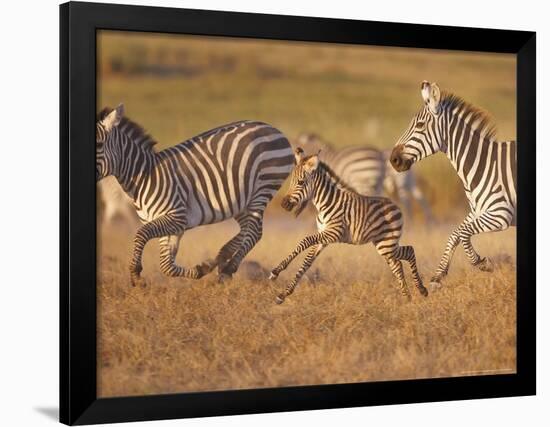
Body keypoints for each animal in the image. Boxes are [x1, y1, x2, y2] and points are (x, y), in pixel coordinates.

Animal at [270, 147, 430, 304]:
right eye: (291, 182)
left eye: (301, 182)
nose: (283, 204)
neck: (326, 202)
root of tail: (394, 205)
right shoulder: (323, 237)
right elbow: (306, 263)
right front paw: (283, 294)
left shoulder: (334, 233)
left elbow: (305, 240)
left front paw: (276, 271)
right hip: (383, 244)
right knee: (398, 264)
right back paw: (407, 297)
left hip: (387, 243)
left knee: (409, 251)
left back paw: (421, 290)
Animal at [392, 80, 516, 288]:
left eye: (420, 125)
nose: (393, 160)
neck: (483, 164)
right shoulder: (478, 211)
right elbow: (454, 233)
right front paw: (438, 276)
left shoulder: (501, 215)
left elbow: (463, 233)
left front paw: (483, 263)